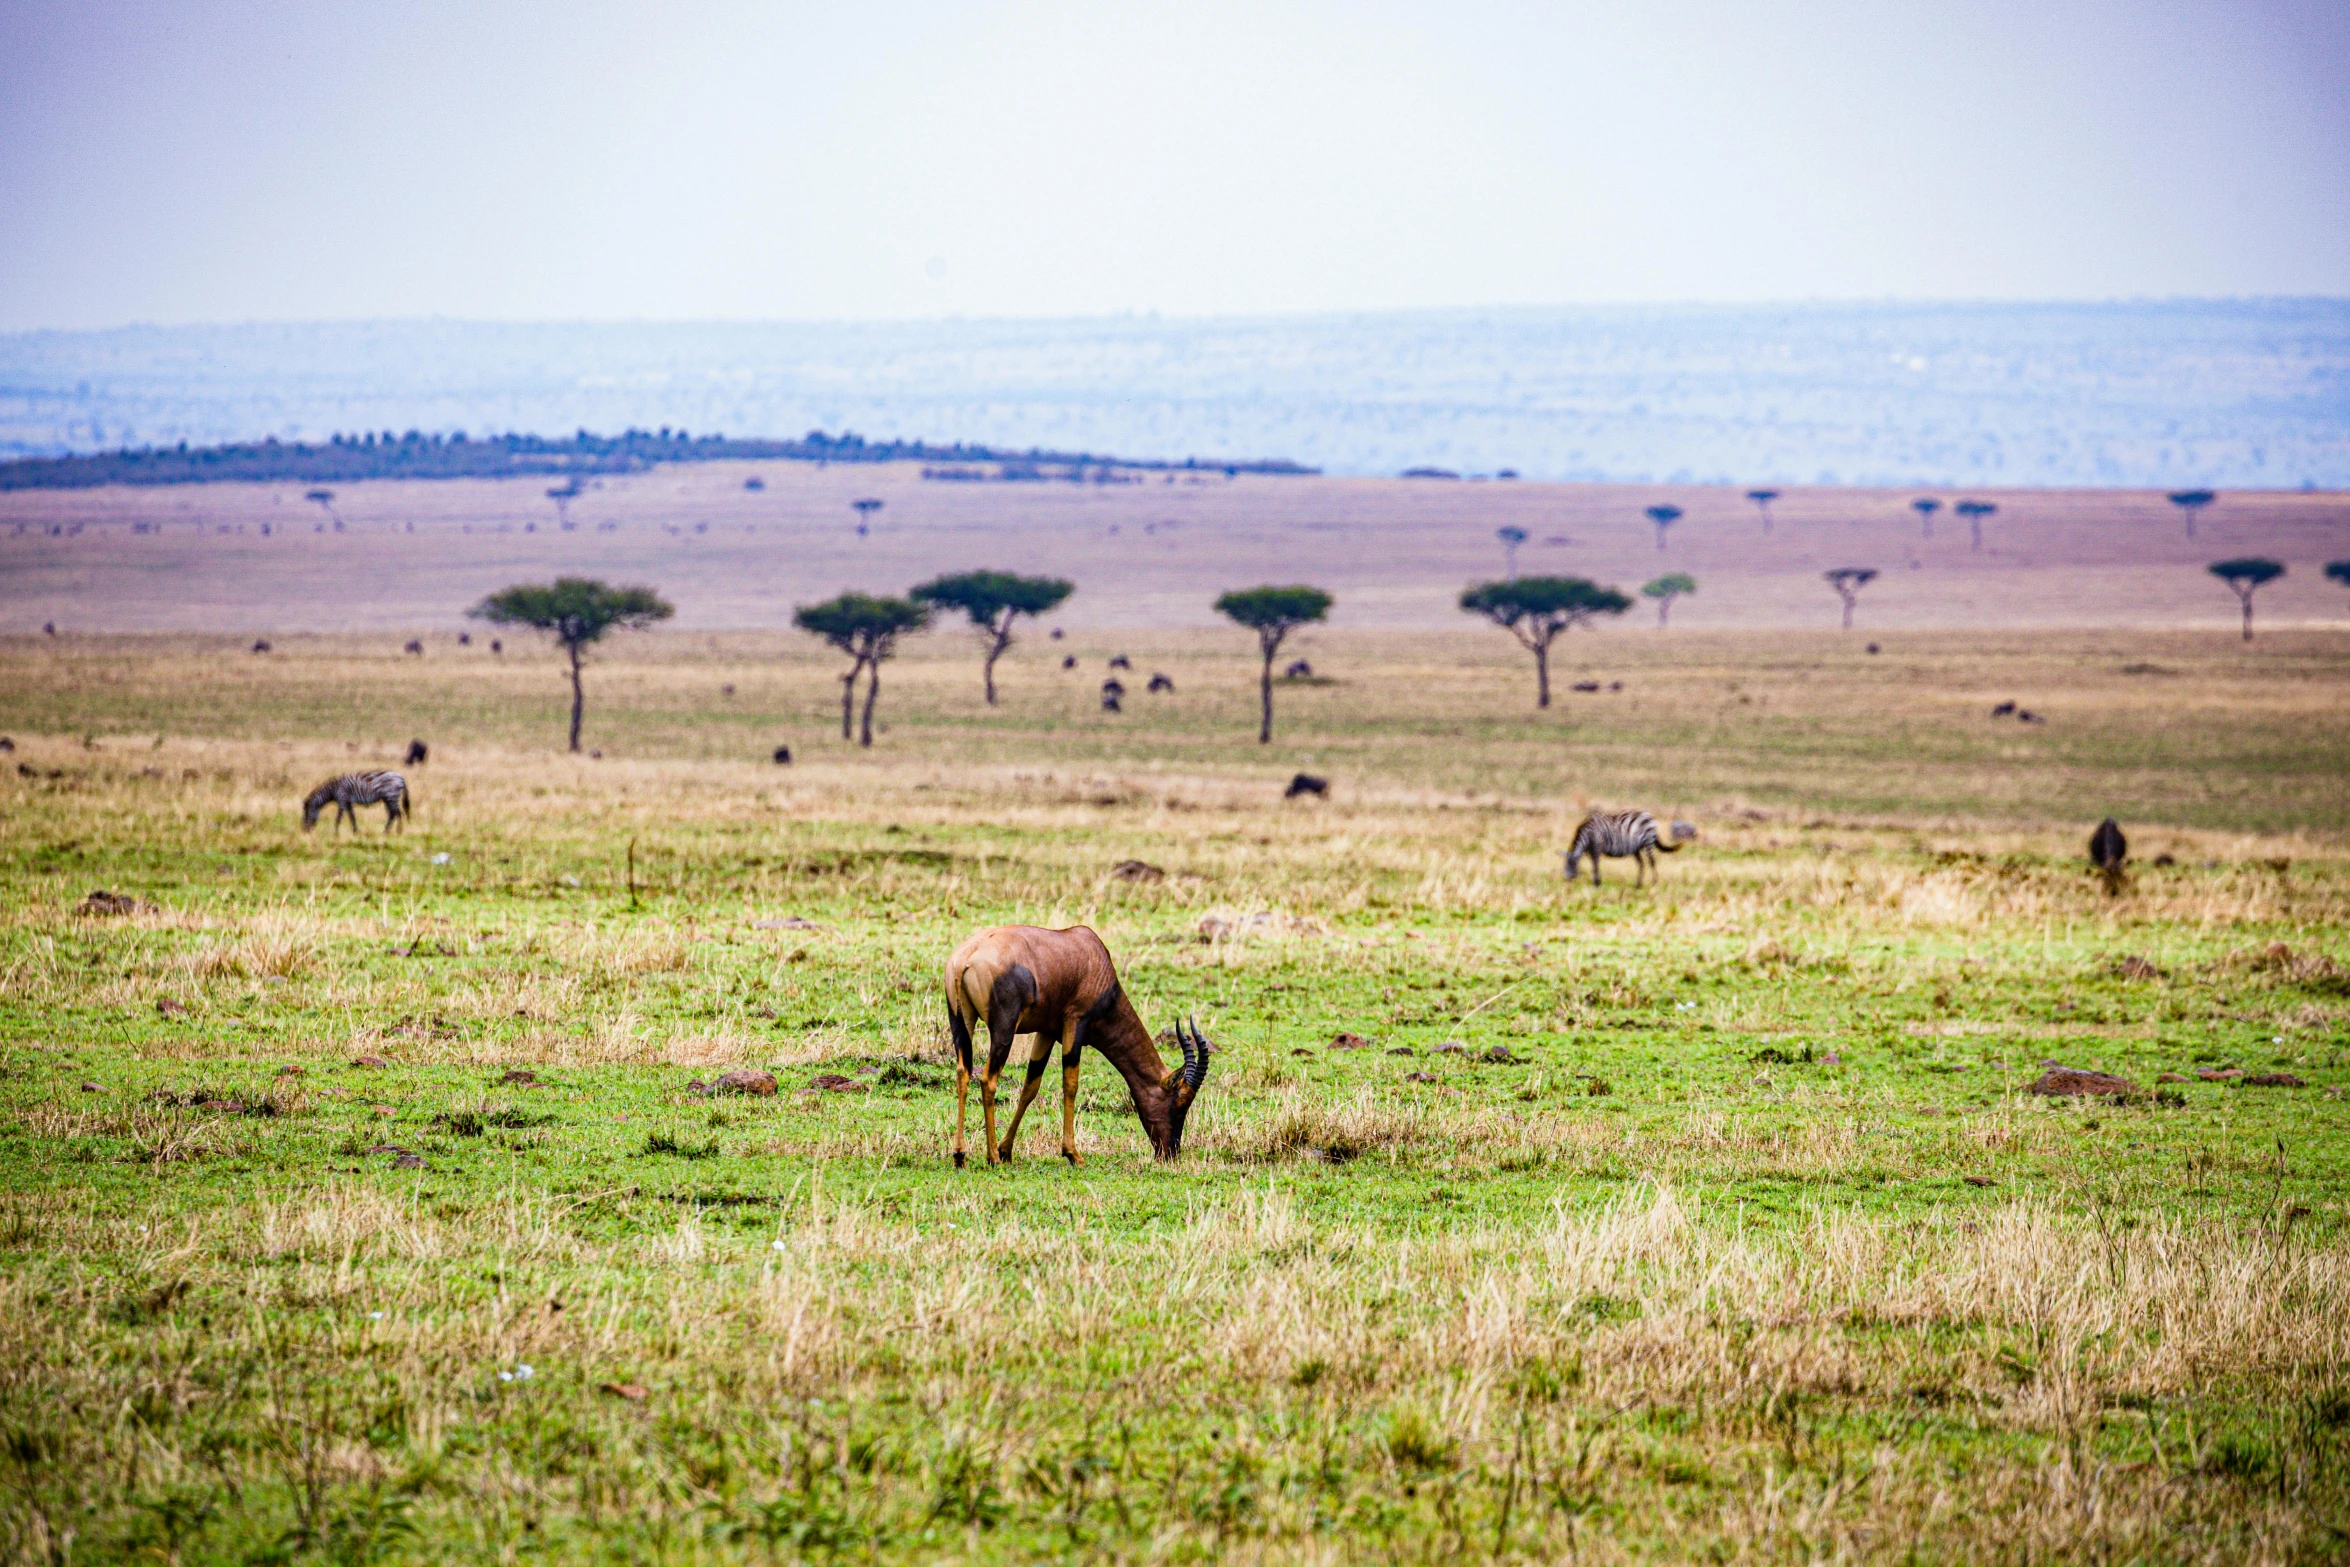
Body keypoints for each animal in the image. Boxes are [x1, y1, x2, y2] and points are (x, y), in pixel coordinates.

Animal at [949, 925, 1222, 1169]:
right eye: (1181, 1101)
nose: (1170, 1153)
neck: (1091, 953)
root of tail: (966, 958)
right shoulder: (1075, 1023)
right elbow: (1070, 1085)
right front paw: (1073, 1154)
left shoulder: (1047, 1031)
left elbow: (1031, 1087)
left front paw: (1007, 1150)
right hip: (1004, 1030)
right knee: (988, 1079)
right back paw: (991, 1158)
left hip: (961, 1022)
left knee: (963, 1072)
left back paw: (961, 1155)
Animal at [1569, 817, 1701, 888]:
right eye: (1567, 865)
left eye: (1571, 865)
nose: (1567, 879)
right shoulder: (1591, 850)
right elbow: (1593, 864)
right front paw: (1596, 881)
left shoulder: (1596, 846)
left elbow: (1595, 864)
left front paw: (1597, 883)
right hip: (1636, 848)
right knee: (1642, 863)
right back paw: (1638, 884)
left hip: (1647, 843)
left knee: (1652, 861)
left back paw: (1654, 882)